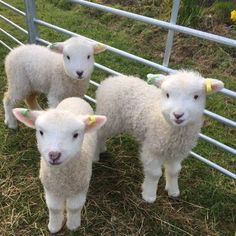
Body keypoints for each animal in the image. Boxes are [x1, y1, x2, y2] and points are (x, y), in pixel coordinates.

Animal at [12, 97, 107, 233]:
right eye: (41, 132)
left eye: (76, 134)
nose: (54, 155)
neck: (62, 179)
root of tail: (74, 98)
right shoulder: (51, 189)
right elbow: (54, 208)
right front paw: (54, 227)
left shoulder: (80, 188)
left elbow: (74, 208)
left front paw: (73, 226)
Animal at [95, 70, 224, 203]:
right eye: (167, 95)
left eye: (196, 96)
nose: (178, 115)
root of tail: (110, 80)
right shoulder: (153, 147)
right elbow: (154, 174)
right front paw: (149, 195)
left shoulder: (177, 152)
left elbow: (174, 171)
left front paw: (173, 191)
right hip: (109, 117)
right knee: (98, 134)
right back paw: (95, 155)